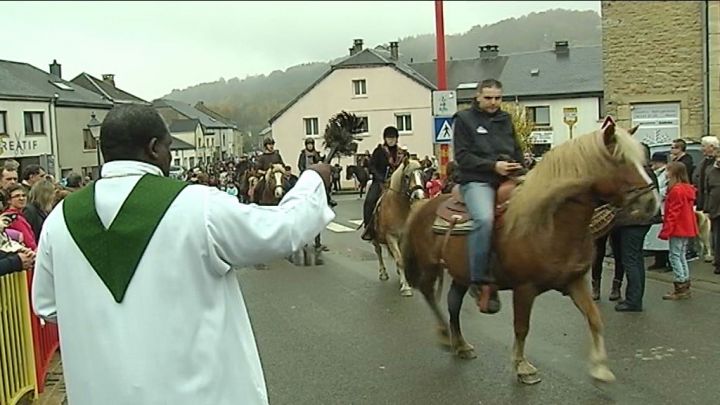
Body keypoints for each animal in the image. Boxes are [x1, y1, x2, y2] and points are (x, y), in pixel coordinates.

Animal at [368, 158, 424, 296]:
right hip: (375, 238)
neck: (398, 207)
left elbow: (402, 258)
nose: (419, 195)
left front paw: (405, 280)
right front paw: (406, 287)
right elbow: (399, 259)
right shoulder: (391, 237)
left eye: (422, 175)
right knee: (378, 251)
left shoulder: (404, 238)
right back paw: (383, 273)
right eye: (407, 176)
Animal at [402, 124, 660, 386]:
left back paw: (461, 344)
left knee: (453, 302)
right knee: (428, 293)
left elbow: (594, 318)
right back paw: (444, 334)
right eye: (620, 160)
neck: (550, 223)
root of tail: (422, 206)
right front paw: (522, 366)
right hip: (430, 266)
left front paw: (600, 367)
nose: (652, 202)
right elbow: (521, 327)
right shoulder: (524, 288)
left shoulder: (575, 281)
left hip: (460, 273)